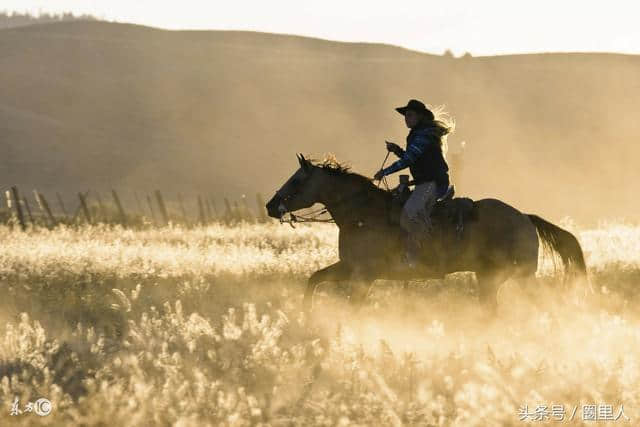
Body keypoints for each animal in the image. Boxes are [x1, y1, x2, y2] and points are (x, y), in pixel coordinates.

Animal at [264, 155, 584, 312]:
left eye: (297, 180)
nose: (270, 205)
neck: (363, 214)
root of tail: (525, 218)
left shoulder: (363, 274)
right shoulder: (348, 267)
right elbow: (314, 280)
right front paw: (307, 316)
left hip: (516, 276)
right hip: (488, 278)